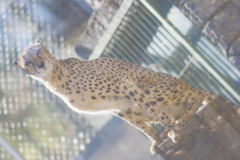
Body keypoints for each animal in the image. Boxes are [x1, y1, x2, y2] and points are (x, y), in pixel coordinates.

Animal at [15, 38, 218, 156]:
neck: (55, 78)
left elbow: (159, 115)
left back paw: (184, 117)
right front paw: (156, 140)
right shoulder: (117, 107)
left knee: (198, 94)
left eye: (39, 52)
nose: (40, 65)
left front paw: (173, 131)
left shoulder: (125, 86)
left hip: (150, 89)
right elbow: (141, 128)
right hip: (133, 106)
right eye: (28, 62)